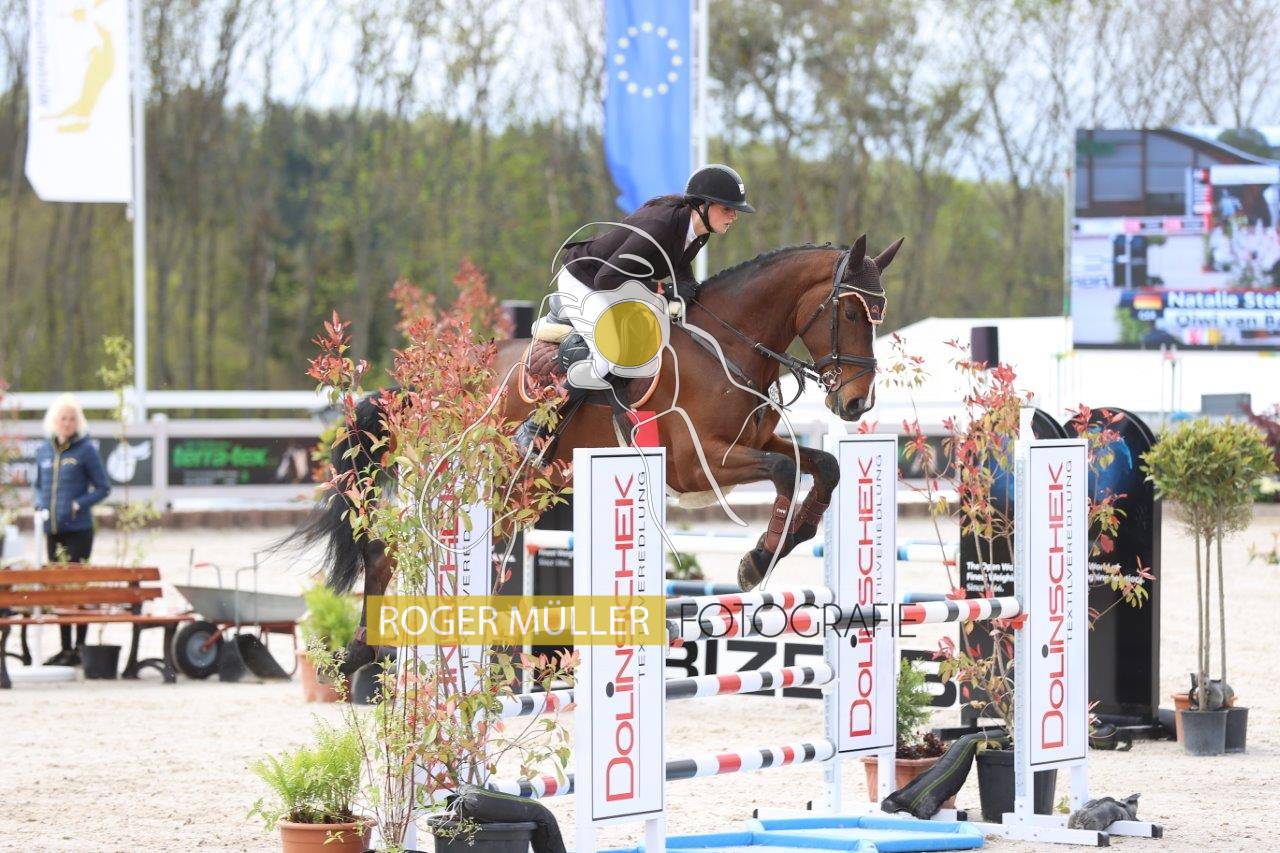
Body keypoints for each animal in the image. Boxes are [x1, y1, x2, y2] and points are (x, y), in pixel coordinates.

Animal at [291, 235, 901, 675]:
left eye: (879, 313)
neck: (727, 346)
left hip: (519, 493)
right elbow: (784, 470)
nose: (855, 403)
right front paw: (757, 559)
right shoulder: (696, 464)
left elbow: (824, 466)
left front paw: (787, 539)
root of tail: (424, 387)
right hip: (461, 483)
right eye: (851, 314)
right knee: (386, 551)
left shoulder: (752, 443)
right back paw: (363, 656)